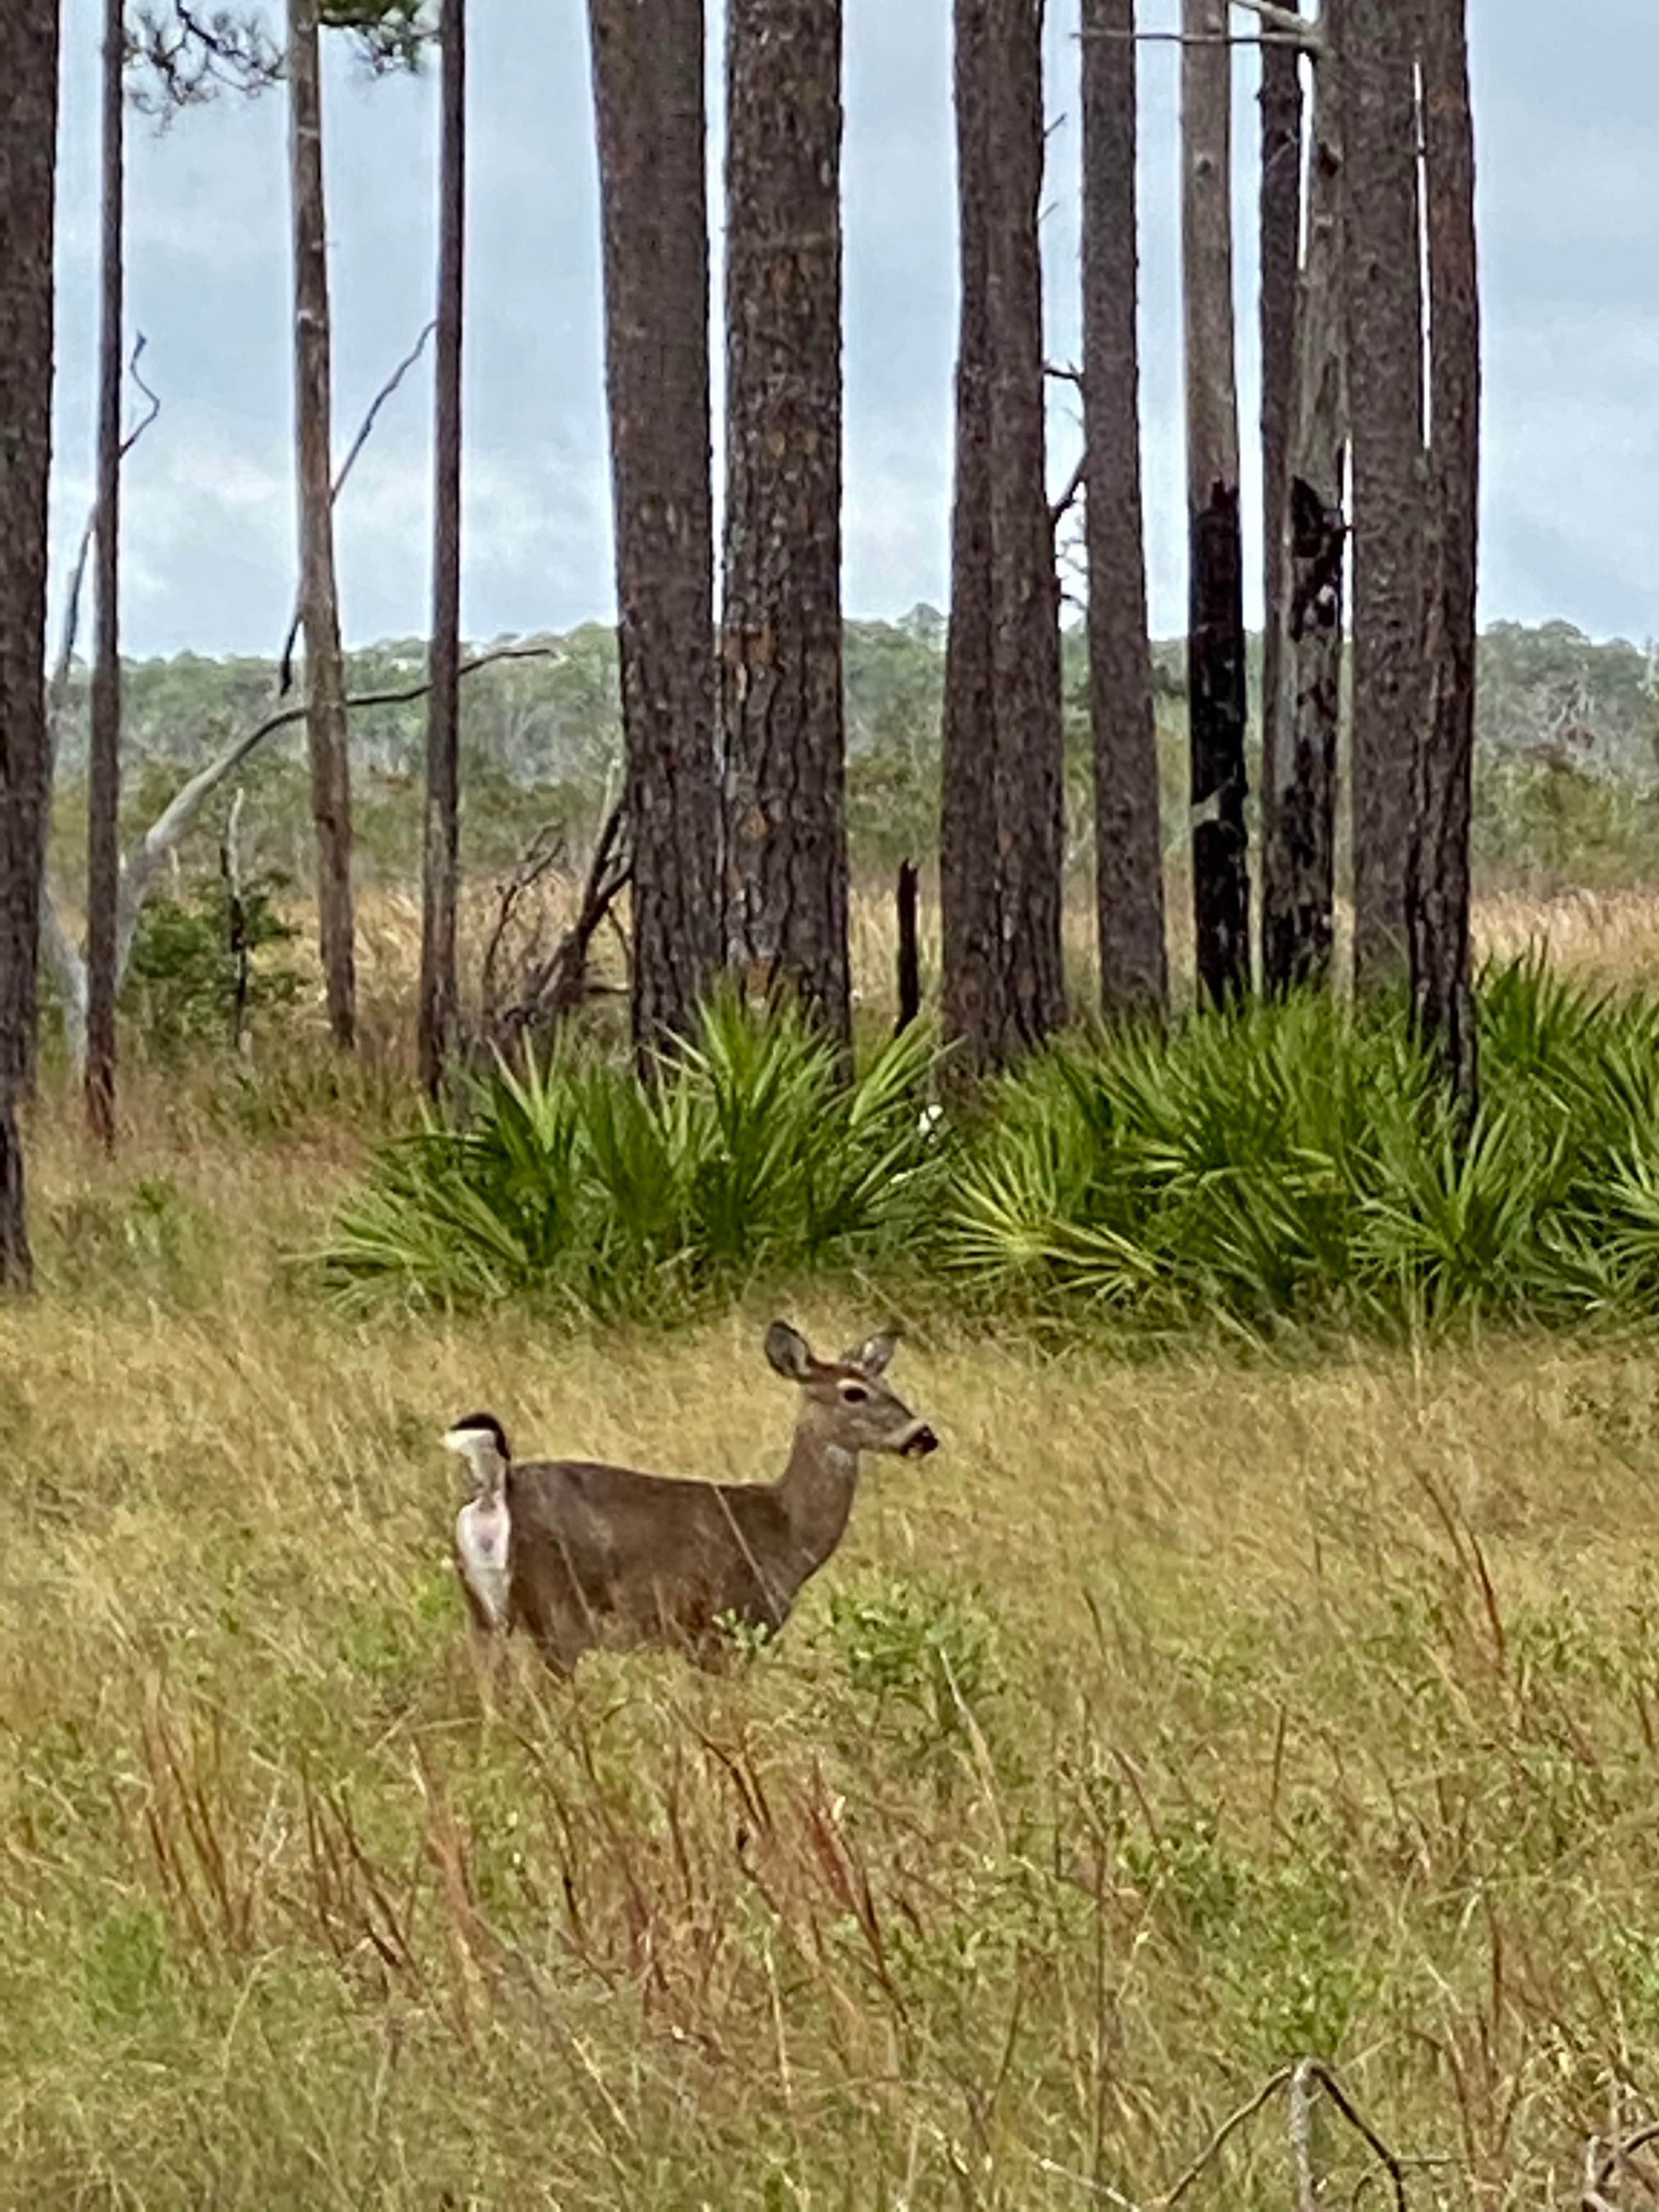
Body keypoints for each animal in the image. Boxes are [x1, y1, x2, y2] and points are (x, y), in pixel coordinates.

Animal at [442, 1309, 942, 1672]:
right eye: (853, 1392)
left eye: (888, 1384)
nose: (924, 1436)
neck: (786, 1533)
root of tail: (498, 1488)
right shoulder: (726, 1626)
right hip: (557, 1609)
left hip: (482, 1614)